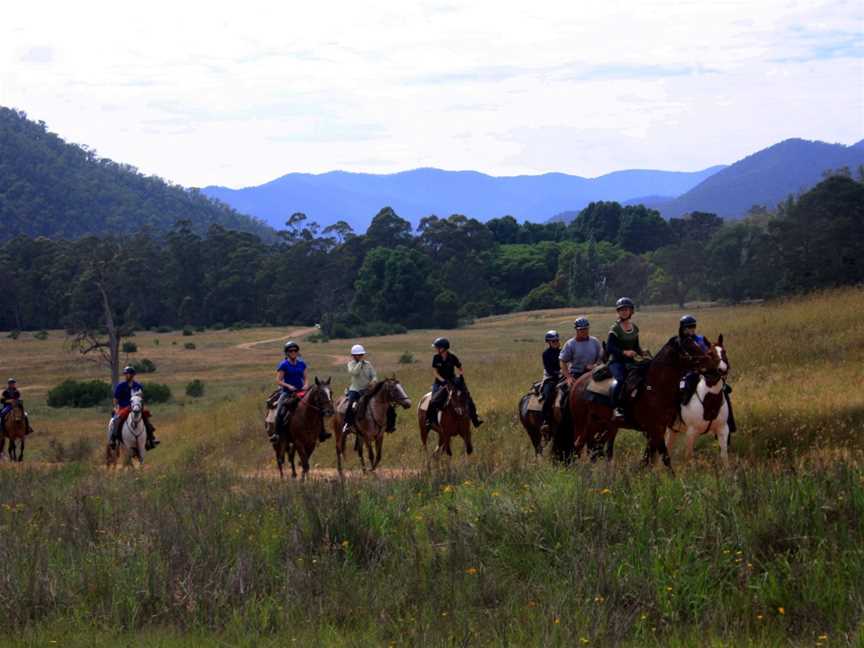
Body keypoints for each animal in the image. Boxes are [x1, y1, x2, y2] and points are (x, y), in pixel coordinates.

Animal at [568, 334, 708, 470]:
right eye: (689, 347)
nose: (709, 360)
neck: (654, 386)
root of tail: (577, 383)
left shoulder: (657, 429)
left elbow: (649, 457)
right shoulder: (655, 429)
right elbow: (664, 456)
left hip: (599, 424)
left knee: (593, 449)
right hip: (583, 425)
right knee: (578, 447)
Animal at [668, 334, 728, 466]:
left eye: (724, 351)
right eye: (710, 353)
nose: (723, 369)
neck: (709, 402)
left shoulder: (722, 429)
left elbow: (724, 456)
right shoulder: (691, 433)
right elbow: (688, 457)